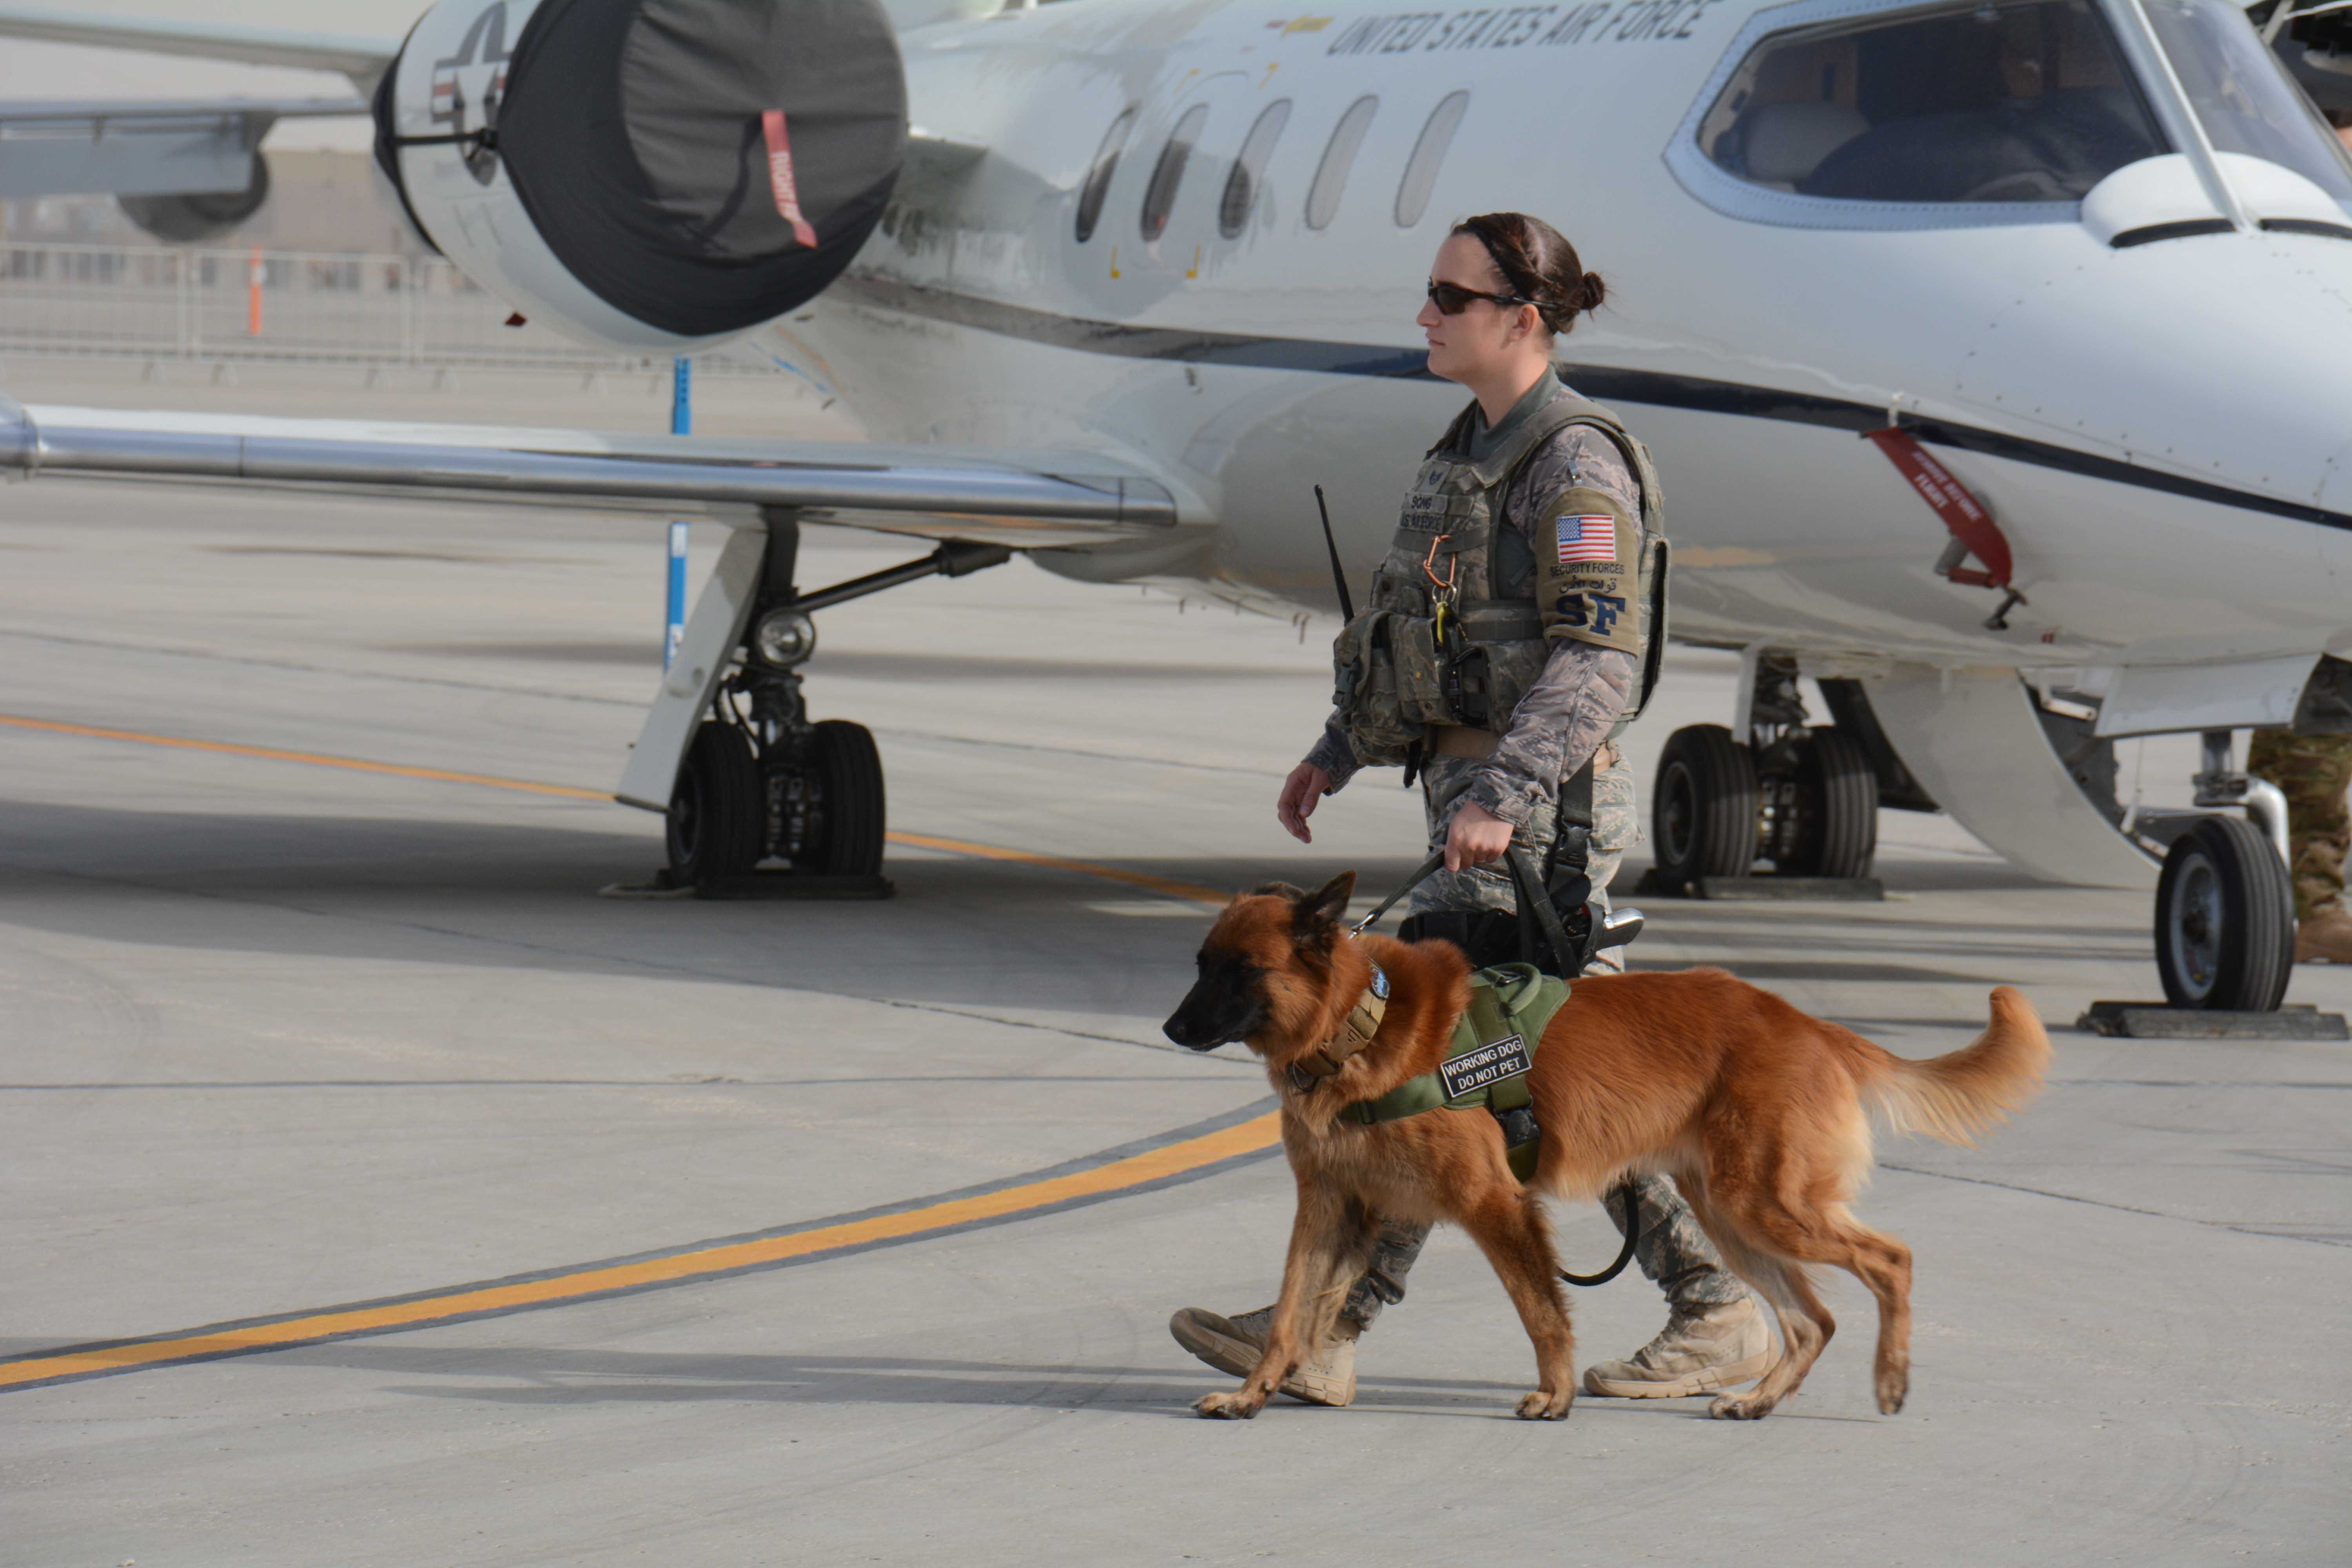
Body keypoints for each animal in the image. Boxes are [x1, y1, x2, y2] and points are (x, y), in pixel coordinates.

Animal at [1167, 869, 2051, 1420]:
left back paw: (1890, 1376)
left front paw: (1554, 1397)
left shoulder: (1493, 1205)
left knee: (1890, 1260)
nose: (1173, 1030)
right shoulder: (1332, 1210)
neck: (1362, 1021)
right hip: (1734, 1217)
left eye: (1241, 969)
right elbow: (1291, 1311)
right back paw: (1760, 1398)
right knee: (1813, 1320)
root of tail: (1802, 1022)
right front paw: (1253, 1392)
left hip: (1763, 1206)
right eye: (1200, 962)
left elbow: (1540, 1310)